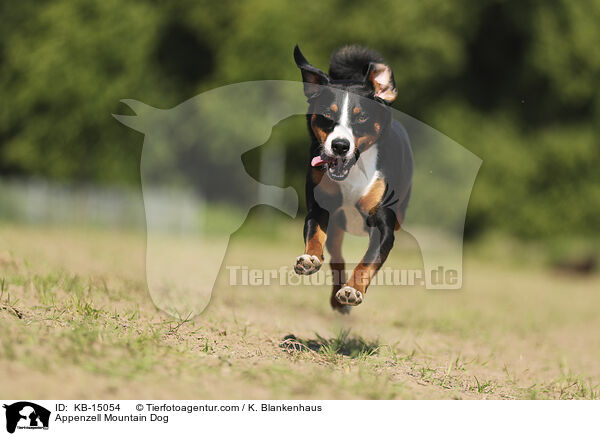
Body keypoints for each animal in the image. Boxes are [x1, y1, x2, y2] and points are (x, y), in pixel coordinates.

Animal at [294, 45, 414, 314]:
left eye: (361, 117)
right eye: (327, 114)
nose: (340, 145)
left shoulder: (383, 223)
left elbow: (368, 262)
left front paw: (352, 290)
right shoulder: (320, 207)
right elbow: (315, 235)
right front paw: (310, 259)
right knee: (337, 259)